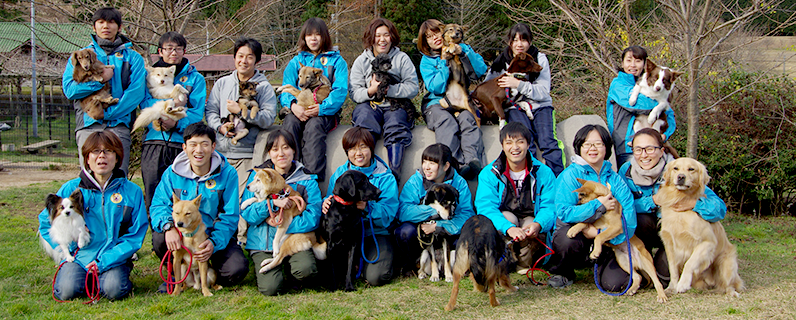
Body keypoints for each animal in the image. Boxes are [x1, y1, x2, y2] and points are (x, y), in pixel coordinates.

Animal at [656, 159, 744, 296]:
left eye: (691, 169)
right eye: (676, 168)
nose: (681, 177)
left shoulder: (707, 243)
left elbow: (690, 263)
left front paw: (682, 284)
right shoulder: (669, 245)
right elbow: (673, 269)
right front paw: (672, 287)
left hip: (726, 263)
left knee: (728, 284)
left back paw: (732, 293)